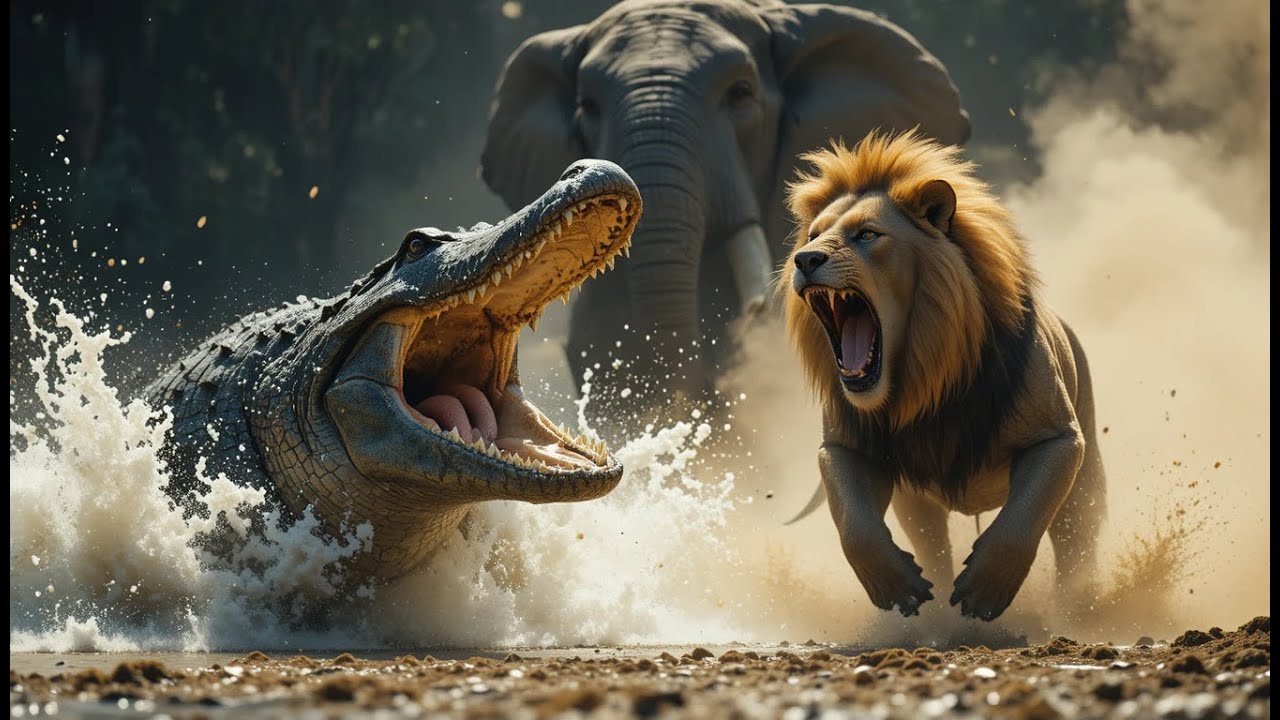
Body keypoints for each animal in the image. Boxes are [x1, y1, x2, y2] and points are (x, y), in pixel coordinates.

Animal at [780, 131, 1106, 621]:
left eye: (867, 235)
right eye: (815, 235)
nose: (805, 259)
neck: (925, 376)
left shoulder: (1060, 439)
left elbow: (1019, 524)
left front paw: (984, 591)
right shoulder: (844, 448)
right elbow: (855, 525)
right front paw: (895, 587)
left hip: (1084, 484)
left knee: (1075, 546)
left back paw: (1076, 614)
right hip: (915, 502)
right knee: (932, 546)